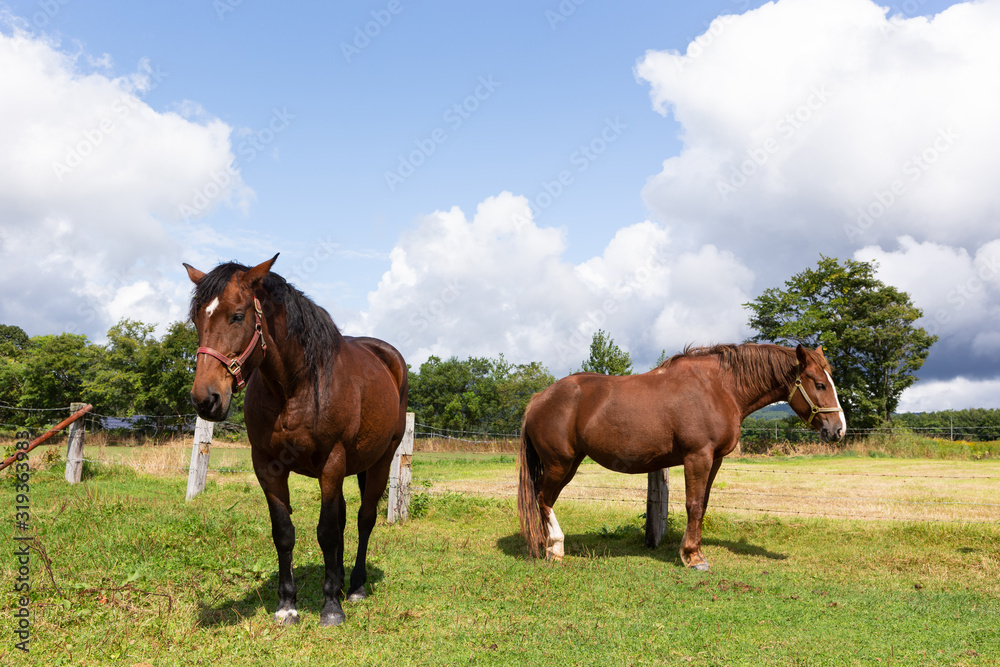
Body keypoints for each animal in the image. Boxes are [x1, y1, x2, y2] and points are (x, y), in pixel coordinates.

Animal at [186, 256, 408, 628]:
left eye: (237, 315)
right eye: (196, 318)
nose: (206, 399)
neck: (296, 386)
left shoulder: (332, 462)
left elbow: (327, 531)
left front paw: (331, 607)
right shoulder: (267, 466)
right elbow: (285, 532)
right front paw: (287, 604)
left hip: (380, 460)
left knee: (364, 519)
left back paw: (356, 586)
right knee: (344, 518)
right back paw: (340, 579)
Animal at [520, 344, 848, 568]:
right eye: (819, 384)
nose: (838, 429)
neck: (718, 389)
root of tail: (538, 398)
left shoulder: (714, 460)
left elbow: (702, 505)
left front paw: (692, 550)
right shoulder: (697, 457)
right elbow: (693, 504)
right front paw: (693, 557)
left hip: (569, 464)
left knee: (544, 500)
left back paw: (546, 546)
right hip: (559, 463)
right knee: (543, 499)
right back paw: (556, 548)